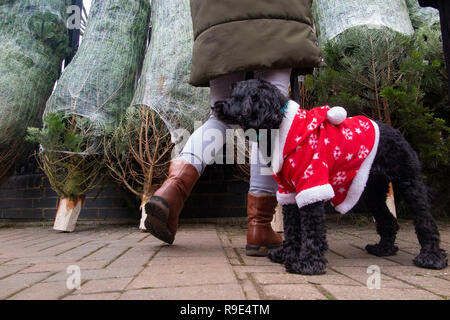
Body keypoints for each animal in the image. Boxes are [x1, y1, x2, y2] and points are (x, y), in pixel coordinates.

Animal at [214, 79, 446, 276]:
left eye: (238, 96)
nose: (216, 106)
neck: (280, 128)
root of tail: (397, 132)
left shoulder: (312, 185)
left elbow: (312, 229)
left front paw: (307, 263)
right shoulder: (289, 191)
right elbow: (292, 227)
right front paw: (287, 254)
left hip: (409, 183)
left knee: (425, 221)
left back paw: (431, 257)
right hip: (371, 190)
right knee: (388, 220)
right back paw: (383, 248)